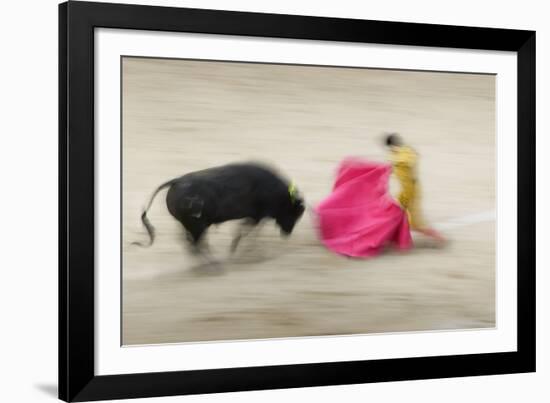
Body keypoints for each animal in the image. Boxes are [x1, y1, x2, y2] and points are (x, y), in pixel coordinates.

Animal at [133, 163, 306, 251]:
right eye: (294, 213)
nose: (287, 233)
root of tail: (176, 181)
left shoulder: (256, 216)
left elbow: (247, 230)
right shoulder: (258, 215)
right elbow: (246, 231)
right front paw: (238, 248)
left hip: (190, 224)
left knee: (190, 242)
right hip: (197, 225)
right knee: (195, 244)